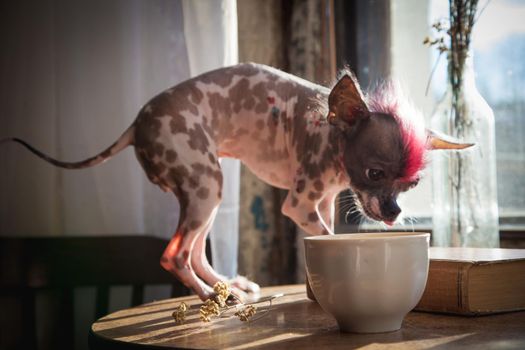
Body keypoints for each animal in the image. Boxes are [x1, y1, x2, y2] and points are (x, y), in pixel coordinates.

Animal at [2, 63, 470, 300]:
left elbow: (324, 234)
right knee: (174, 255)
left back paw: (226, 286)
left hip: (204, 192)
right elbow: (329, 238)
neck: (331, 130)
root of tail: (135, 124)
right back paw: (209, 296)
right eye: (375, 173)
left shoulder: (321, 204)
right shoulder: (301, 205)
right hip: (205, 185)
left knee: (194, 252)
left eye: (411, 185)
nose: (393, 212)